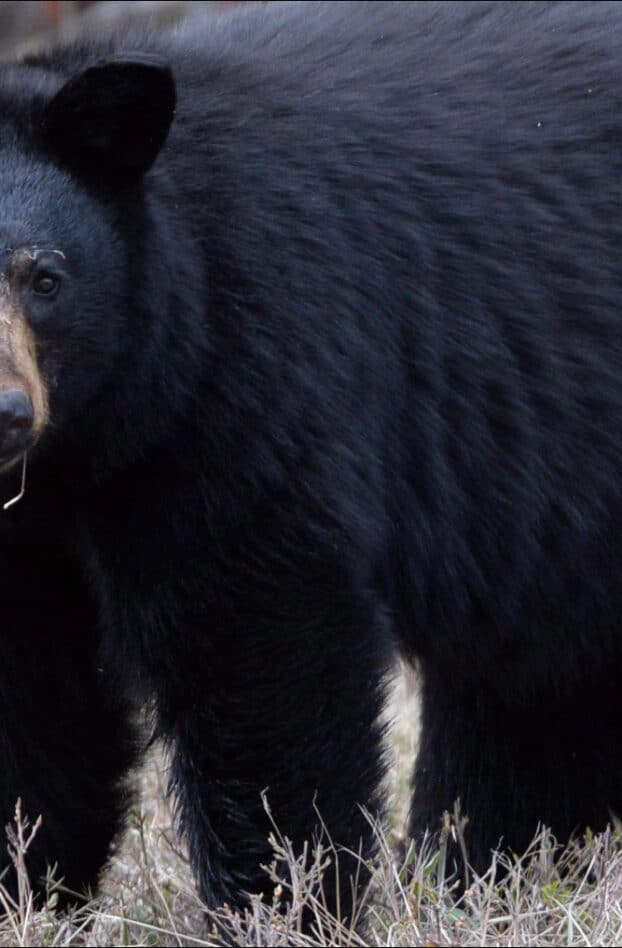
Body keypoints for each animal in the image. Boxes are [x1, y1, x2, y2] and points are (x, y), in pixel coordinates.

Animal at [0, 0, 622, 924]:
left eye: (45, 278)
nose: (5, 413)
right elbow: (38, 704)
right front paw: (25, 885)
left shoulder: (240, 368)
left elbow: (262, 646)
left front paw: (285, 903)